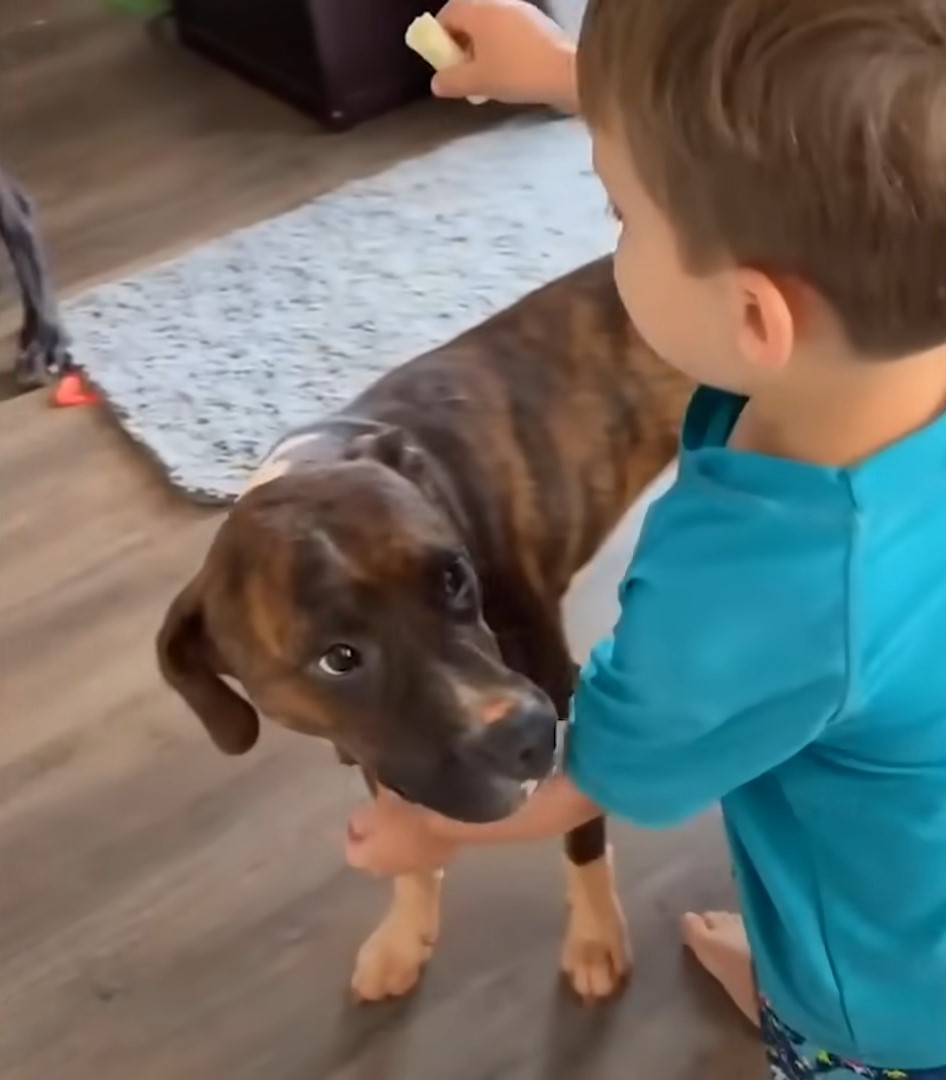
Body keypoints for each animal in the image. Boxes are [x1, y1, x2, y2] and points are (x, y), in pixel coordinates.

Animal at [153, 257, 686, 997]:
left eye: (455, 577)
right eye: (338, 658)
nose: (523, 733)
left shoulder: (559, 689)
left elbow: (580, 828)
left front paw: (595, 933)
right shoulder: (384, 749)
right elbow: (406, 842)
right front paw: (405, 933)